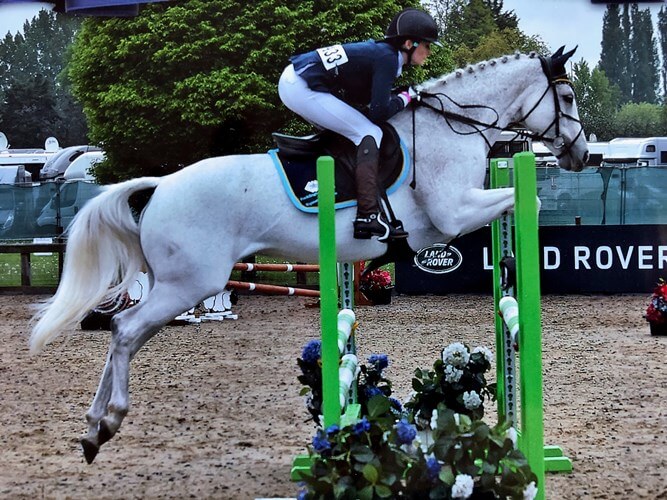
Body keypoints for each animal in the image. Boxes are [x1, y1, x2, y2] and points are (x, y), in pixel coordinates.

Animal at [28, 47, 588, 464]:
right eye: (566, 94)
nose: (582, 155)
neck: (449, 127)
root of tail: (162, 184)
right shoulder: (453, 213)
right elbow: (529, 200)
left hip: (181, 284)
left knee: (122, 334)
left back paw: (91, 429)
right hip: (190, 284)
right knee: (125, 331)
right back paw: (108, 422)